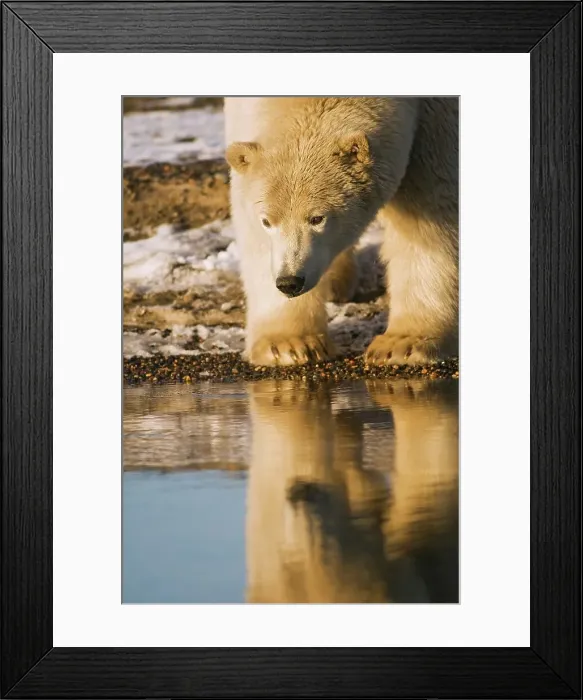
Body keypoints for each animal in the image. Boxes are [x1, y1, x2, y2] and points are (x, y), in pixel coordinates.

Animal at [224, 97, 458, 366]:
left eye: (317, 218)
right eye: (267, 221)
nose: (289, 282)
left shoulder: (435, 119)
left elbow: (429, 214)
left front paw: (401, 345)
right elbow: (255, 236)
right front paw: (289, 344)